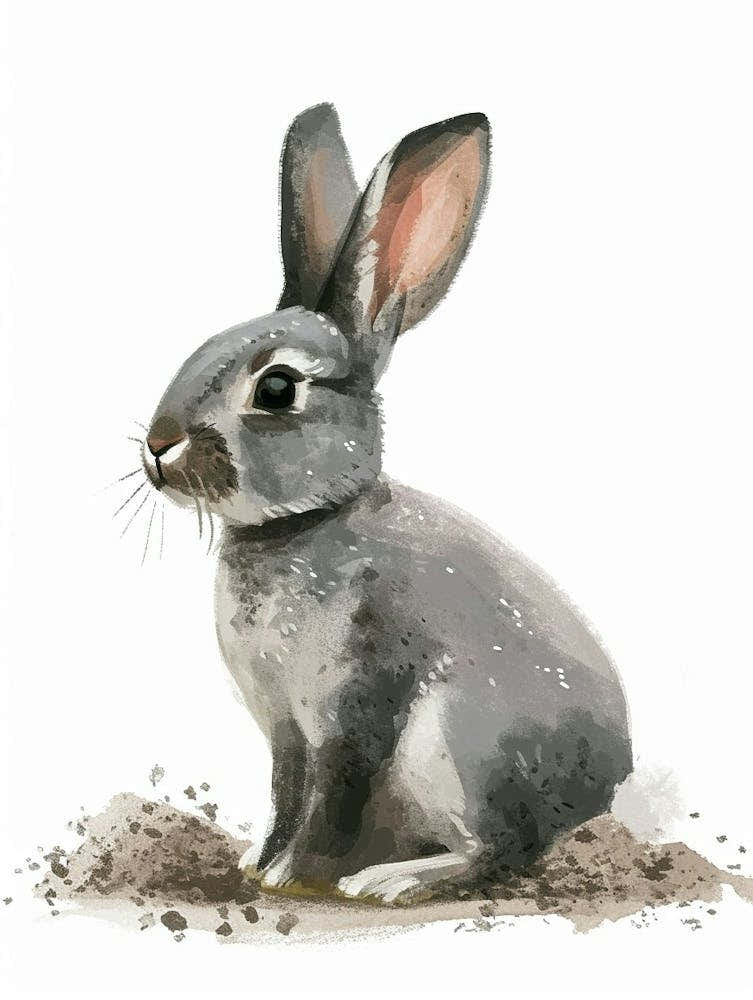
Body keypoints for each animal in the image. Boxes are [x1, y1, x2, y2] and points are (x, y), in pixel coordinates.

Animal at [141, 103, 632, 904]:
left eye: (276, 388)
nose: (157, 447)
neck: (306, 522)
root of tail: (605, 787)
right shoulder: (285, 734)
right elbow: (286, 795)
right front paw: (256, 865)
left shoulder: (351, 713)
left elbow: (329, 799)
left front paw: (291, 879)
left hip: (459, 747)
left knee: (500, 851)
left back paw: (390, 881)